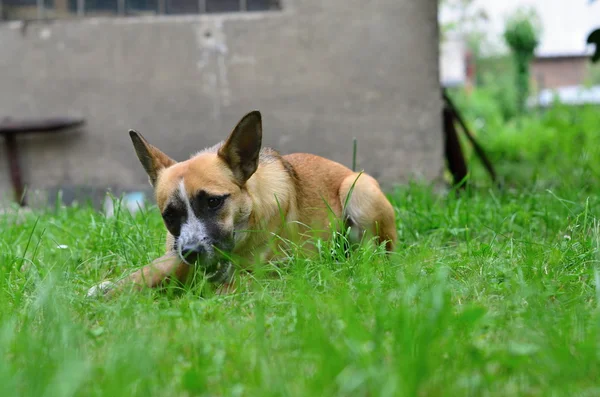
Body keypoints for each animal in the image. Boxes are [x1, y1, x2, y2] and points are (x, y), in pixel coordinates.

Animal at [86, 109, 396, 296]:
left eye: (213, 202)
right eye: (169, 215)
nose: (191, 252)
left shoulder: (267, 272)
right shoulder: (174, 255)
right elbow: (148, 271)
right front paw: (108, 287)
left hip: (360, 191)